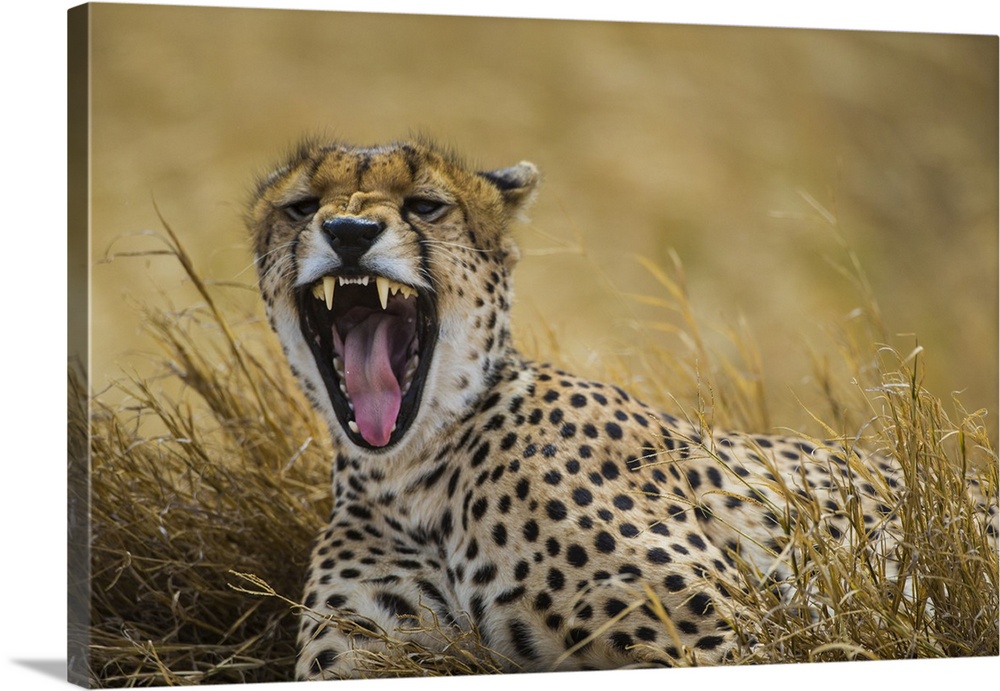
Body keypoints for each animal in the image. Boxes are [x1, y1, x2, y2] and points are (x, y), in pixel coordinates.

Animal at [248, 139, 992, 680]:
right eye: (302, 206)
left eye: (426, 205)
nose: (348, 230)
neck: (415, 471)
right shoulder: (368, 656)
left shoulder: (732, 635)